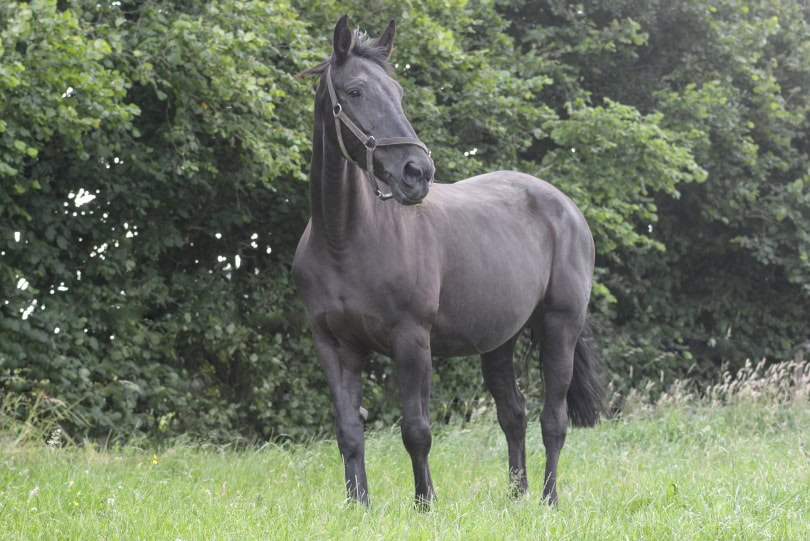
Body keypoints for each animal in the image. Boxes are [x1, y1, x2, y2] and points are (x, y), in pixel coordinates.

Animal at [293, 15, 604, 508]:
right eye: (356, 91)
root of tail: (567, 207)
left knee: (553, 421)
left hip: (560, 328)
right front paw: (357, 506)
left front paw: (425, 504)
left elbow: (416, 431)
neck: (344, 240)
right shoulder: (333, 347)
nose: (417, 172)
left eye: (398, 92)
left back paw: (548, 500)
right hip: (499, 341)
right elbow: (349, 433)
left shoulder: (412, 341)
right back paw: (516, 496)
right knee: (513, 414)